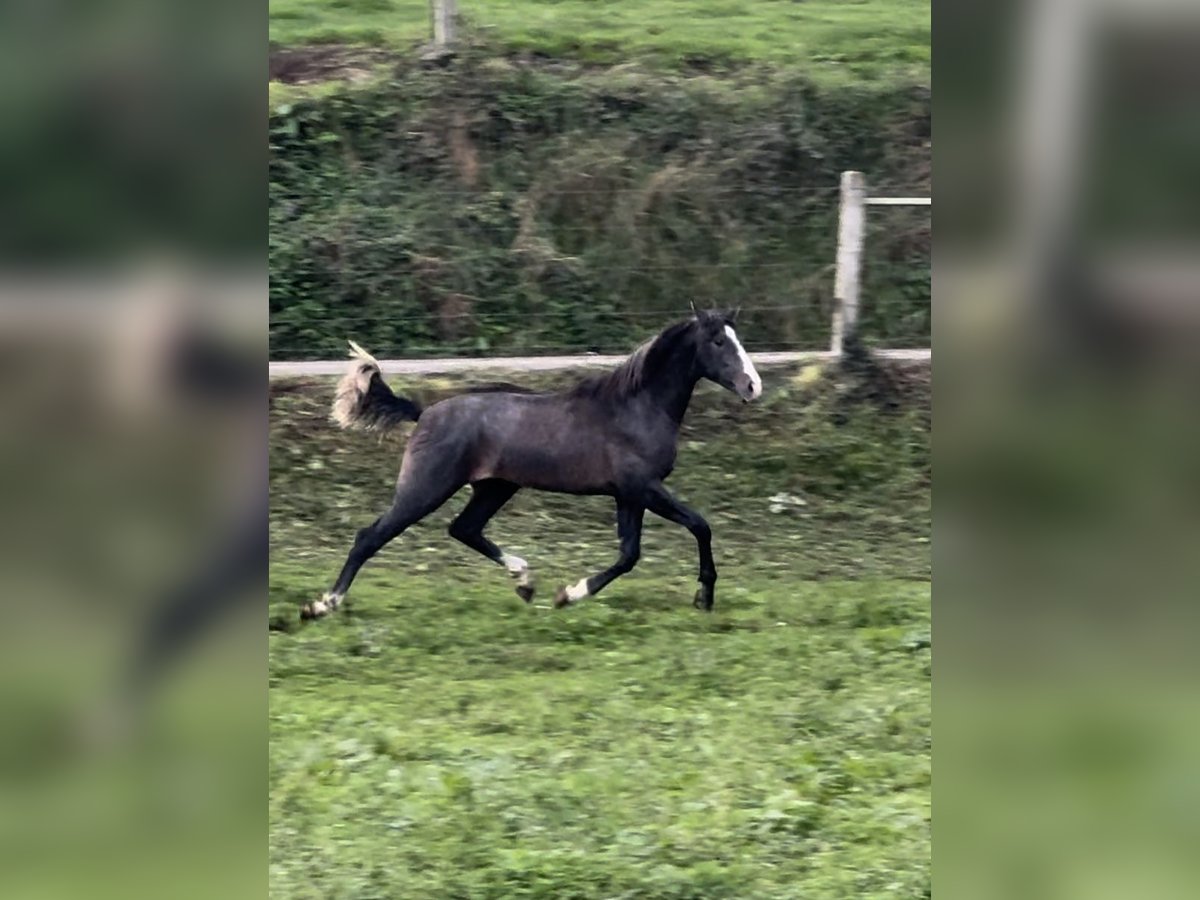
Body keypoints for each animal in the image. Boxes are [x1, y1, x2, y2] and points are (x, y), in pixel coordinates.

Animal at [304, 309, 763, 619]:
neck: (636, 408)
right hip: (427, 487)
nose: (752, 386)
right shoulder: (643, 488)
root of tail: (423, 412)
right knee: (370, 536)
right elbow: (699, 526)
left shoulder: (628, 494)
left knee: (464, 529)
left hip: (495, 487)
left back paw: (525, 581)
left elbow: (629, 554)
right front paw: (704, 597)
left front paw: (567, 594)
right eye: (719, 342)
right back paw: (322, 605)